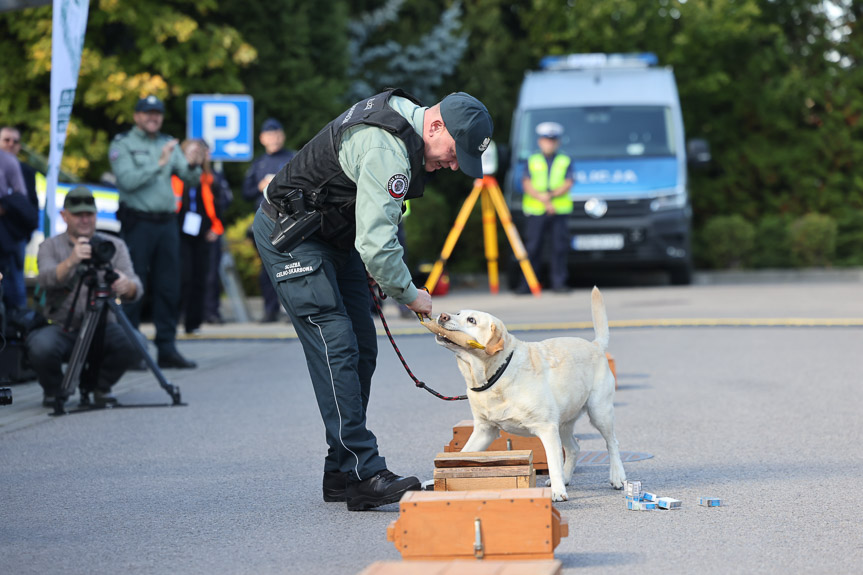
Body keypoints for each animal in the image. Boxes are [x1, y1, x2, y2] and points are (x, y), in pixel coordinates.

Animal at [432, 290, 628, 502]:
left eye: (471, 320)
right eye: (458, 313)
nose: (442, 316)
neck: (496, 373)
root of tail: (595, 345)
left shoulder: (547, 428)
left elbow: (553, 463)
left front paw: (558, 492)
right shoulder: (485, 430)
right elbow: (464, 453)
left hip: (599, 412)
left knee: (612, 443)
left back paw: (617, 477)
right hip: (563, 423)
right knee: (574, 448)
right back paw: (567, 478)